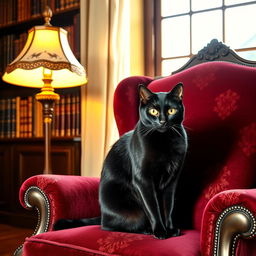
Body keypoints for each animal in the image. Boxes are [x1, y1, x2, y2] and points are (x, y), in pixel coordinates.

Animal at [54, 83, 187, 239]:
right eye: (153, 111)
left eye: (172, 110)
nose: (162, 121)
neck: (164, 141)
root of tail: (103, 215)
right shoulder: (143, 180)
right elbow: (153, 208)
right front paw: (160, 231)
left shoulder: (172, 180)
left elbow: (168, 207)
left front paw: (170, 229)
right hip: (131, 211)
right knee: (112, 225)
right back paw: (147, 230)